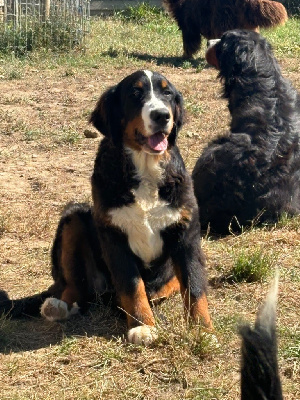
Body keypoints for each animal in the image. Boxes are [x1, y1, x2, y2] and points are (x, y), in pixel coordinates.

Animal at [1, 71, 214, 344]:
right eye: (135, 93)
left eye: (167, 93)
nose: (161, 115)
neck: (145, 166)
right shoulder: (115, 236)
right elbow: (132, 285)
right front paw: (142, 326)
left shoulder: (185, 232)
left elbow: (195, 284)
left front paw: (202, 331)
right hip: (75, 218)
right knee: (74, 286)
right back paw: (58, 306)